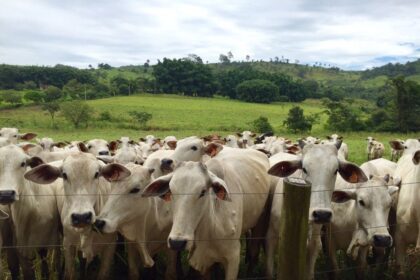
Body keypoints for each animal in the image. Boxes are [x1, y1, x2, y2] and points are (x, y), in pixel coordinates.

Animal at [0, 145, 61, 278]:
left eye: (23, 163)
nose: (6, 194)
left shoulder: (46, 237)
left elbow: (44, 258)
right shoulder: (16, 246)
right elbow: (22, 270)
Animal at [144, 148, 270, 278]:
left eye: (203, 192)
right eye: (171, 191)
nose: (177, 243)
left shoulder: (233, 257)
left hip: (261, 221)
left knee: (254, 251)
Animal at [266, 143, 368, 278]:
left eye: (336, 170)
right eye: (304, 169)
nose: (322, 214)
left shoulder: (314, 245)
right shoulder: (270, 238)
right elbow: (269, 271)